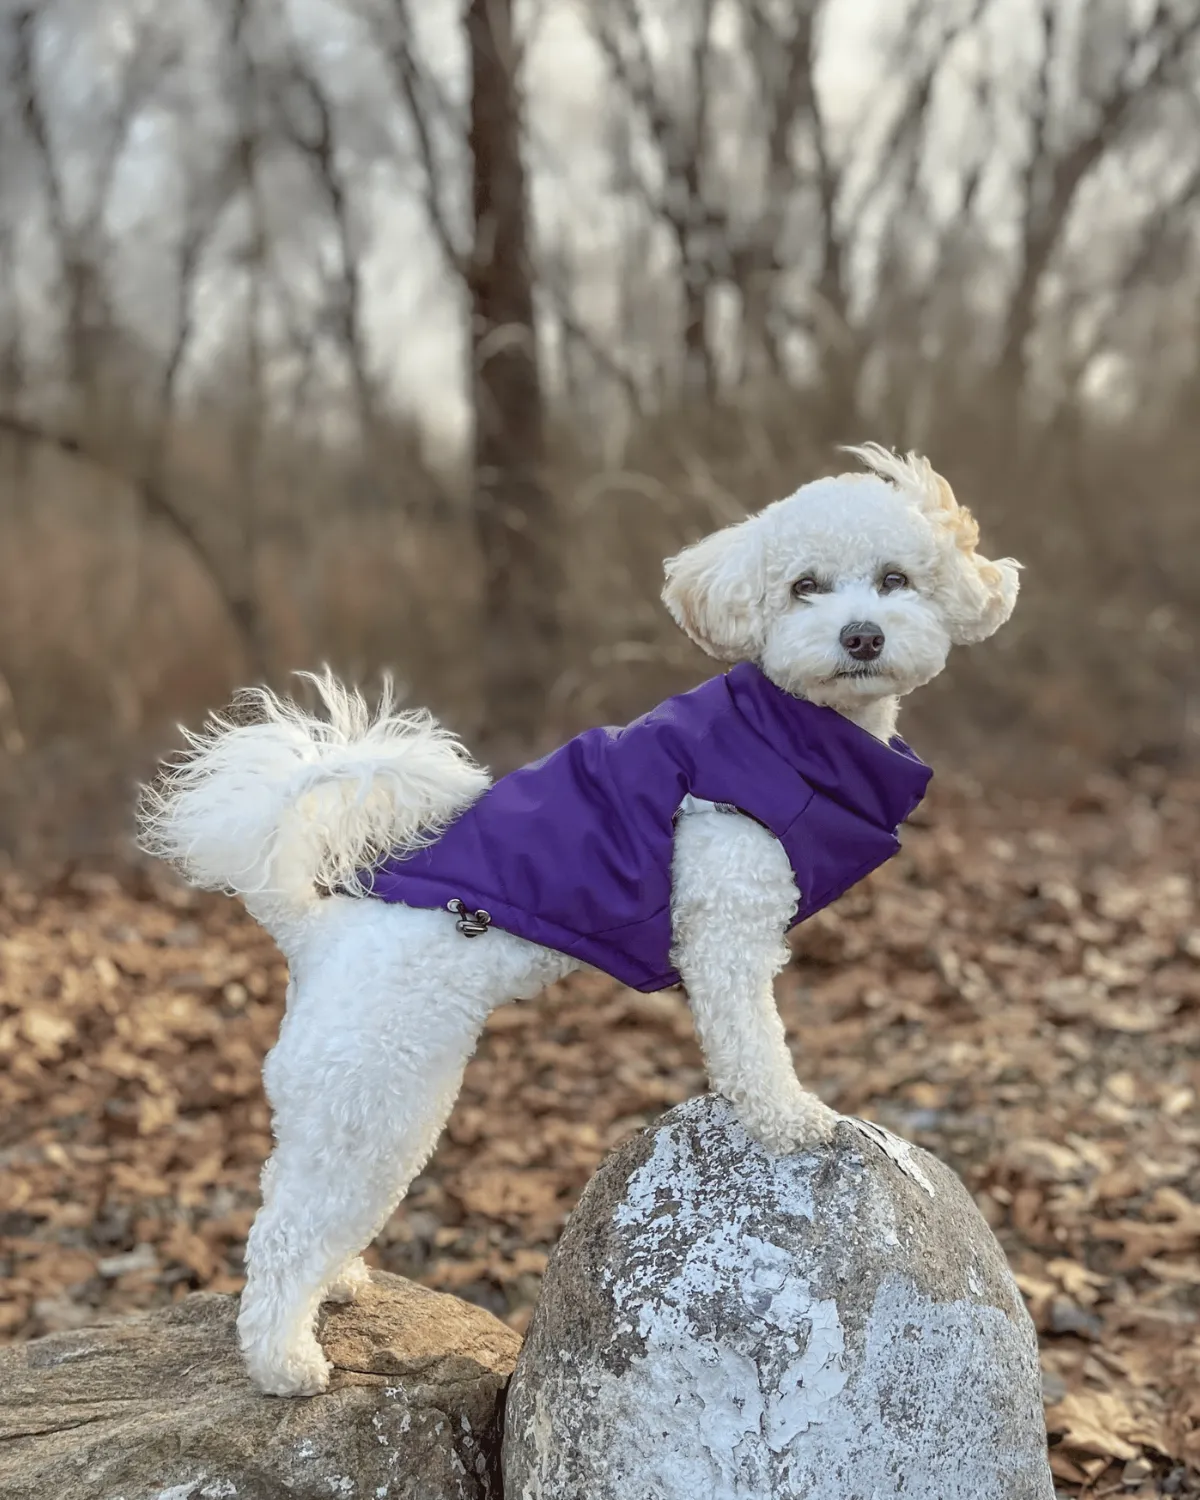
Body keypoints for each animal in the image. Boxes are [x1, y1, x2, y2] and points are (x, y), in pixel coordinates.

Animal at [141, 441, 1020, 1392]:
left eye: (896, 579)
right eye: (804, 587)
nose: (862, 636)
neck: (791, 736)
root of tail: (314, 930)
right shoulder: (726, 920)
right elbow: (752, 1042)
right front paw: (789, 1118)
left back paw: (335, 1284)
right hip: (373, 1101)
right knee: (282, 1232)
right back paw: (284, 1360)